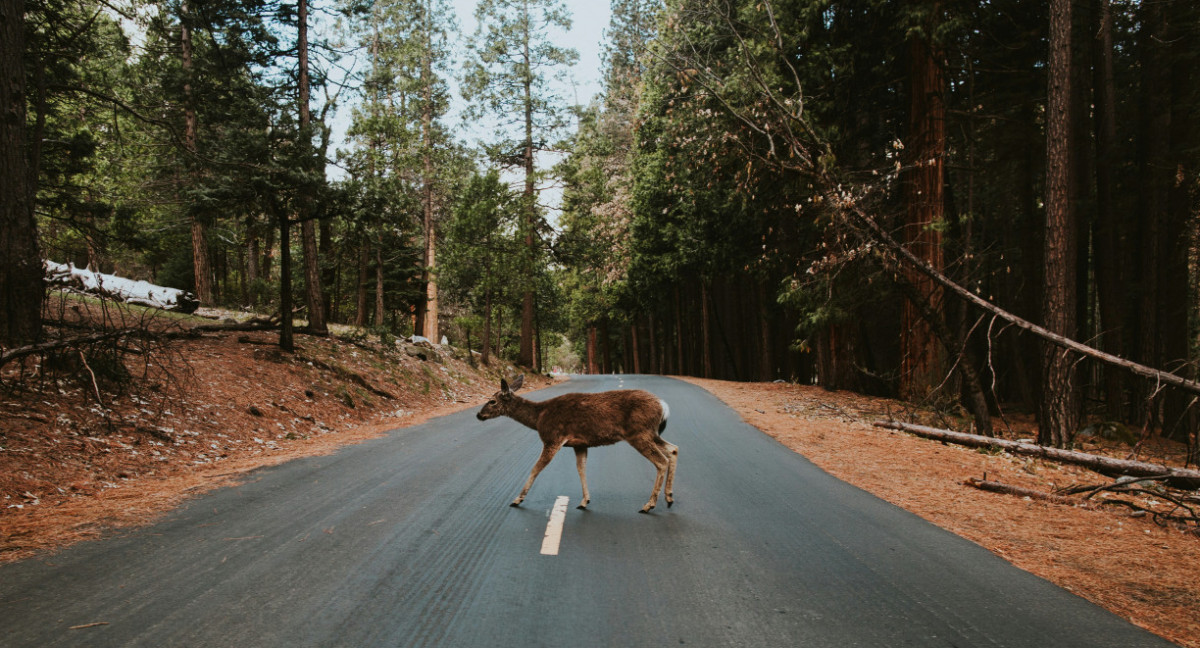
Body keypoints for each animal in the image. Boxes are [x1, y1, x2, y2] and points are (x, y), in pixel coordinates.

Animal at [480, 376, 686, 513]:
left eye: (492, 401)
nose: (479, 415)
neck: (539, 417)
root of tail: (663, 406)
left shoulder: (553, 438)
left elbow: (536, 468)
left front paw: (517, 499)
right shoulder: (579, 444)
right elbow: (581, 468)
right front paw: (584, 500)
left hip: (639, 433)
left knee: (661, 461)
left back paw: (649, 505)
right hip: (651, 433)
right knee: (673, 449)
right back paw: (669, 498)